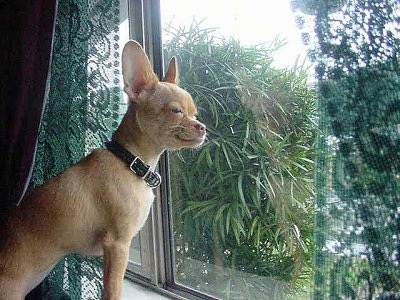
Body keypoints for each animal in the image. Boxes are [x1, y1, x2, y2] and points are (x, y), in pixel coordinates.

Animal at [0, 40, 206, 300]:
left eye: (195, 113)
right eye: (176, 111)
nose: (202, 127)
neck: (129, 161)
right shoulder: (117, 246)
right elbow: (112, 290)